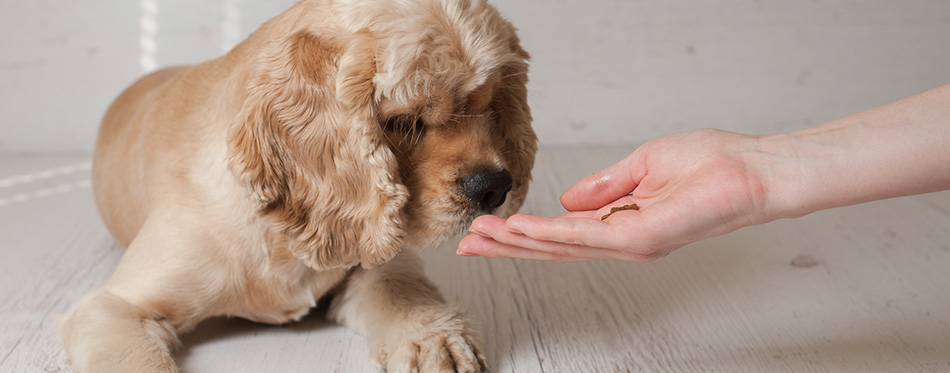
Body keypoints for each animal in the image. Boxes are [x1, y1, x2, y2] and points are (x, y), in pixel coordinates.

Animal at [57, 0, 536, 370]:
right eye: (404, 122)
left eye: (491, 107)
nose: (495, 187)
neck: (281, 236)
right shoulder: (111, 309)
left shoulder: (374, 258)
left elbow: (398, 285)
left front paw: (432, 339)